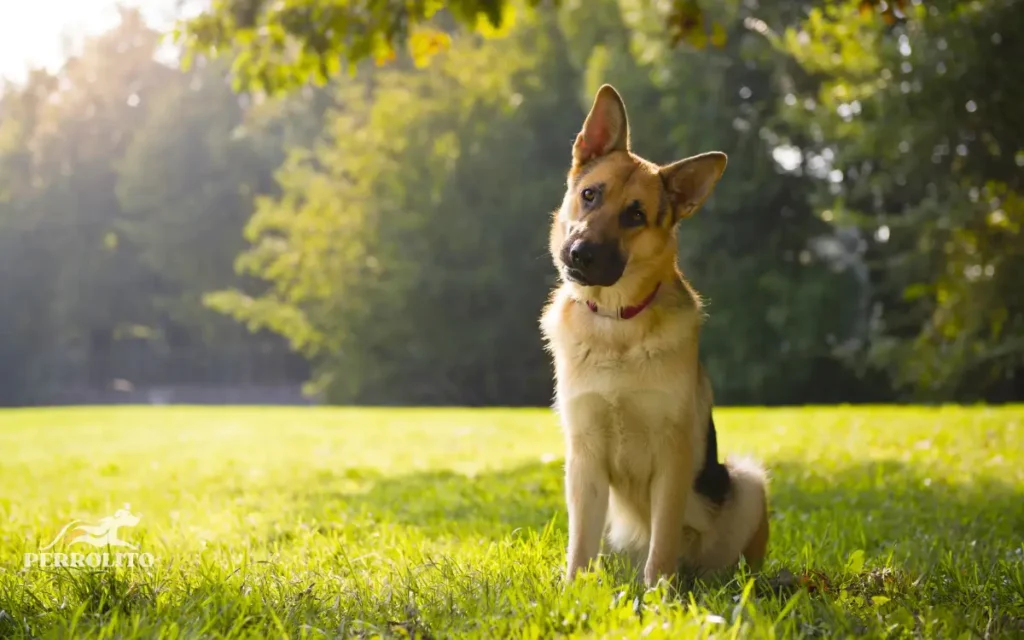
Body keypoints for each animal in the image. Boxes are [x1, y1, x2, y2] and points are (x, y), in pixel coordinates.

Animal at [544, 86, 770, 589]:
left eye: (636, 215)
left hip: (746, 482)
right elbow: (579, 546)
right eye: (590, 195)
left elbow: (662, 543)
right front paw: (572, 593)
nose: (580, 254)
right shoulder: (584, 459)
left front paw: (660, 597)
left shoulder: (673, 457)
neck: (616, 323)